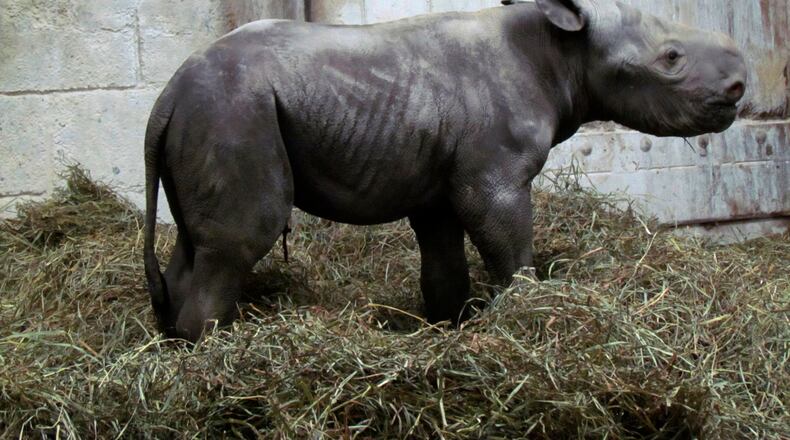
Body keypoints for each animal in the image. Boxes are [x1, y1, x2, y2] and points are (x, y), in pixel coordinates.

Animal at [144, 0, 746, 341]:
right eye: (671, 58)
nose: (741, 87)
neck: (563, 50)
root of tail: (167, 94)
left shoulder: (437, 185)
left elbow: (443, 264)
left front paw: (451, 326)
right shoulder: (494, 175)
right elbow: (509, 247)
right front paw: (526, 309)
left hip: (206, 114)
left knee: (195, 245)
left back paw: (172, 346)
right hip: (233, 111)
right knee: (243, 238)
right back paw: (214, 354)